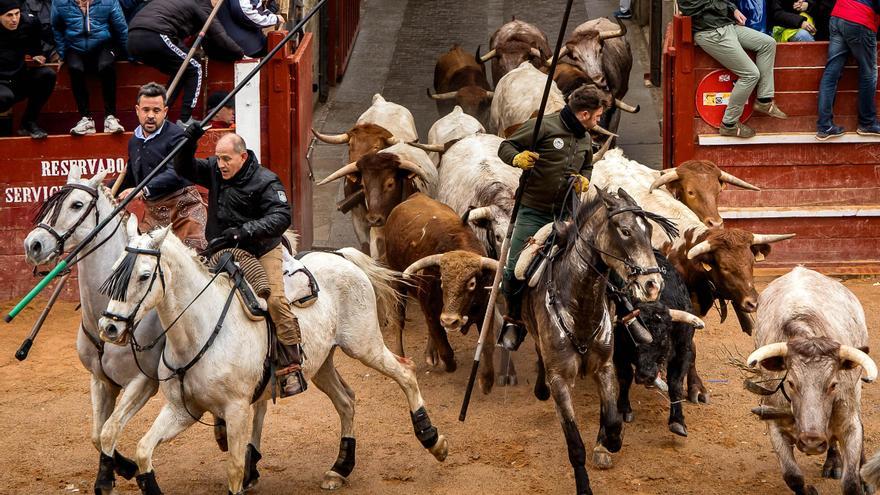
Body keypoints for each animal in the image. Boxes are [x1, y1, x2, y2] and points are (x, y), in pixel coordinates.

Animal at [21, 169, 161, 494]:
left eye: (77, 204)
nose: (33, 245)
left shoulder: (143, 382)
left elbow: (109, 431)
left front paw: (109, 477)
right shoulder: (100, 380)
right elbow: (97, 434)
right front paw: (122, 467)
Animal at [97, 227, 450, 494]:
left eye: (144, 276)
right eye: (113, 271)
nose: (109, 327)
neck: (200, 330)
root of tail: (340, 256)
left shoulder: (236, 410)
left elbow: (235, 468)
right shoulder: (182, 410)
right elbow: (144, 450)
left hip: (364, 345)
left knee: (406, 372)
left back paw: (432, 440)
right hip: (321, 363)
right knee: (347, 400)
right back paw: (339, 468)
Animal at [384, 194, 502, 396]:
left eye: (472, 284)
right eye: (442, 282)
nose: (449, 321)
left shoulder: (486, 310)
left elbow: (487, 343)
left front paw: (486, 382)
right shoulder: (430, 309)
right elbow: (444, 346)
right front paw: (449, 364)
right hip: (398, 283)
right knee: (399, 320)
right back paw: (401, 355)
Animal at [744, 268, 876, 495]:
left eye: (833, 384)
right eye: (791, 383)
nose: (812, 442)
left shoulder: (849, 424)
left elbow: (851, 483)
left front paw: (861, 480)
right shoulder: (775, 427)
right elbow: (793, 476)